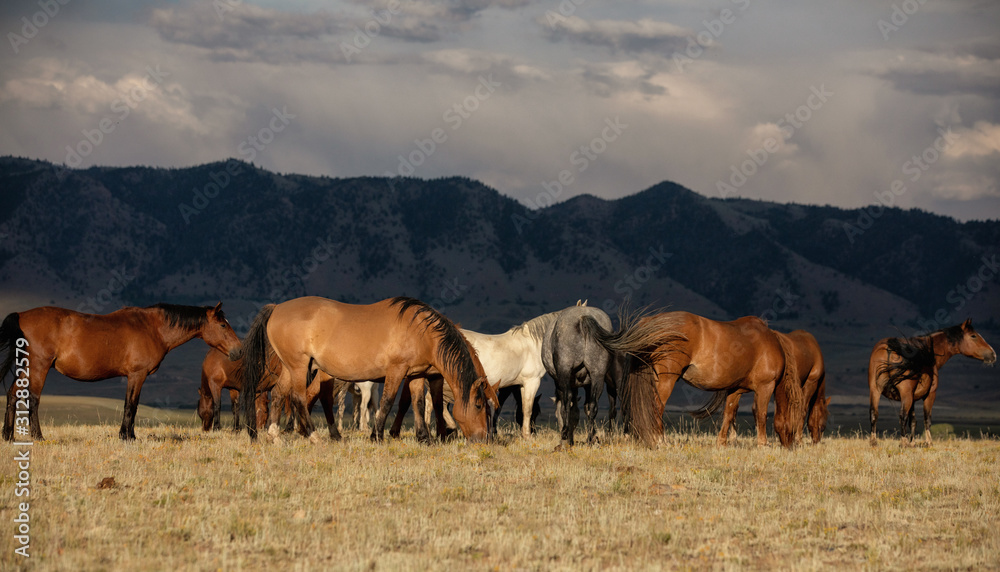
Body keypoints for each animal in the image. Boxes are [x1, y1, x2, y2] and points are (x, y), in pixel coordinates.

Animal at [0, 303, 240, 441]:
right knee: (32, 398)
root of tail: (21, 315)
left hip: (26, 367)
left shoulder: (135, 377)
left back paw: (8, 436)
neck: (153, 328)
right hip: (38, 366)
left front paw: (129, 434)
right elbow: (130, 405)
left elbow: (132, 405)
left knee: (12, 394)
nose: (238, 350)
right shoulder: (137, 375)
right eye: (223, 325)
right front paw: (126, 436)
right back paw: (38, 436)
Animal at [239, 296, 497, 443]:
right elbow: (387, 402)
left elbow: (417, 403)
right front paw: (377, 436)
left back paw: (275, 436)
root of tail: (276, 308)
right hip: (300, 367)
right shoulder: (396, 371)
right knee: (298, 398)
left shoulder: (416, 375)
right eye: (479, 405)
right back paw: (313, 437)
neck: (422, 331)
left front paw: (424, 438)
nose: (484, 440)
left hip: (291, 368)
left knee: (279, 395)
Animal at [622, 311, 804, 449]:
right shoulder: (765, 387)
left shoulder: (735, 389)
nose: (791, 446)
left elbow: (728, 414)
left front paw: (722, 443)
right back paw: (659, 441)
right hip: (666, 380)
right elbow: (761, 413)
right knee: (656, 407)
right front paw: (763, 444)